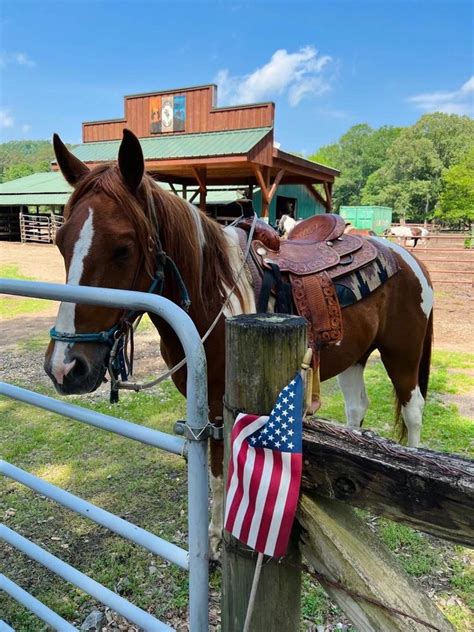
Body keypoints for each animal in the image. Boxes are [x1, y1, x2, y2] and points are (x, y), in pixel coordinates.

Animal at [46, 131, 436, 560]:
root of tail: (406, 256)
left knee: (413, 410)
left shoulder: (222, 405)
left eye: (123, 248)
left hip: (402, 354)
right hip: (355, 357)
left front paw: (217, 540)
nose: (65, 367)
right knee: (357, 407)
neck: (214, 295)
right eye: (60, 242)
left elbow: (220, 472)